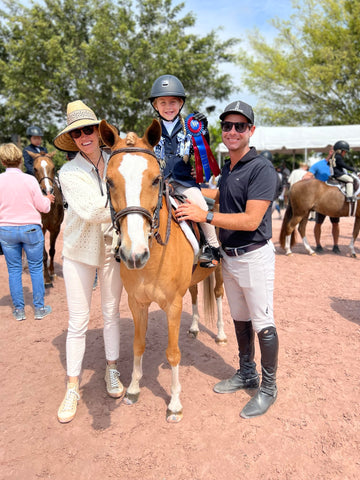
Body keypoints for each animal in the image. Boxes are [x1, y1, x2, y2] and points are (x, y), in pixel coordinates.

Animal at [28, 151, 64, 284]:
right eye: (35, 168)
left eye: (53, 168)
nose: (48, 191)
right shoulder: (41, 229)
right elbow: (43, 254)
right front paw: (46, 278)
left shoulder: (56, 228)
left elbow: (52, 251)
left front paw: (52, 272)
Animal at [100, 118, 221, 422]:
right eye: (109, 181)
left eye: (156, 179)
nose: (134, 255)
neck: (152, 258)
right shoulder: (136, 303)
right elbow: (138, 345)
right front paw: (133, 390)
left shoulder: (173, 305)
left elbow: (173, 353)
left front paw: (175, 404)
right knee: (195, 294)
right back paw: (194, 328)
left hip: (221, 273)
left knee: (219, 295)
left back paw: (222, 334)